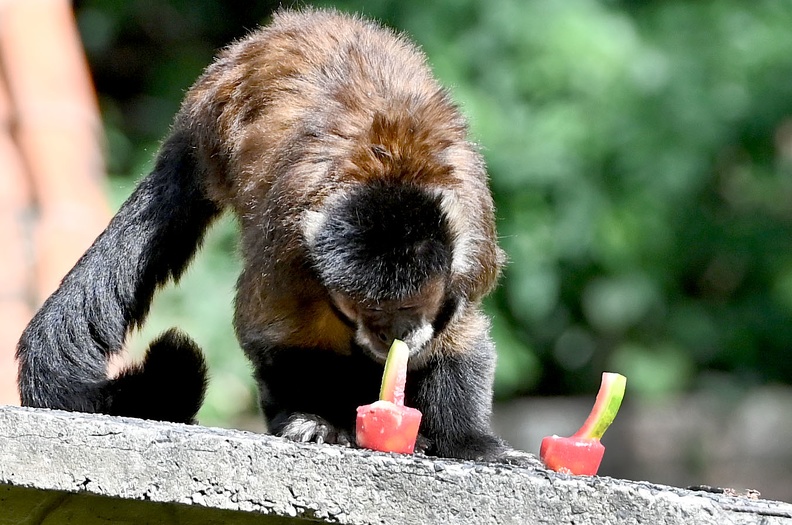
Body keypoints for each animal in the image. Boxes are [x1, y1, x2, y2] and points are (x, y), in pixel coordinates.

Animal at [15, 8, 528, 462]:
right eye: (372, 313)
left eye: (405, 311)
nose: (393, 336)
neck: (390, 172)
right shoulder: (290, 248)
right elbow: (275, 330)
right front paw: (313, 418)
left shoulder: (468, 250)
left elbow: (460, 336)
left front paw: (467, 442)